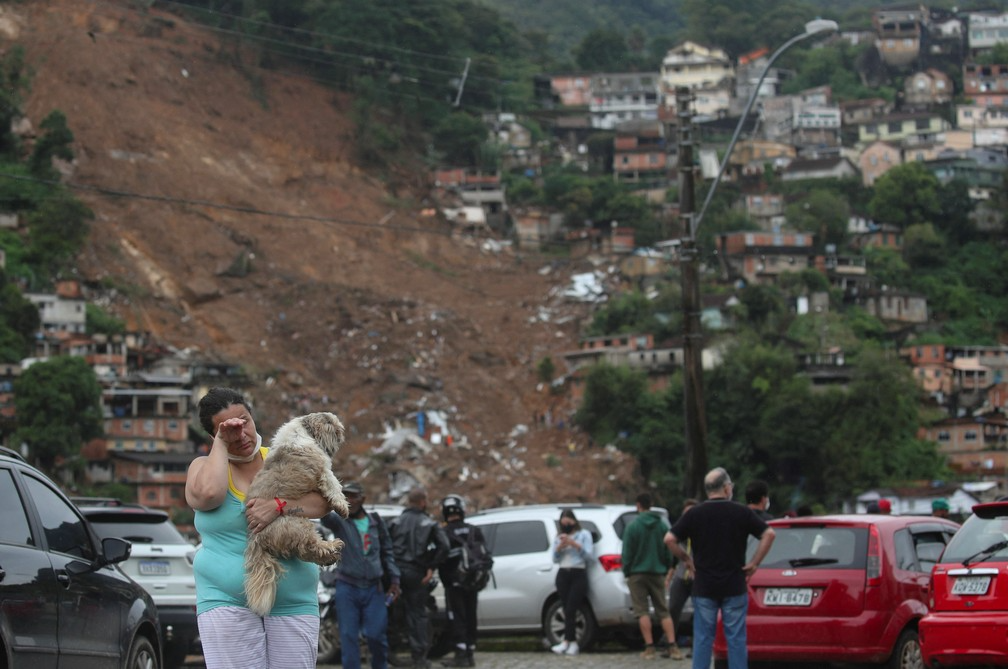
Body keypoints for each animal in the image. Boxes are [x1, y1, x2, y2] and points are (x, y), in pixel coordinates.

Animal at [242, 411, 350, 612]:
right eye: (334, 425)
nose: (341, 433)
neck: (304, 431)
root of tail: (257, 538)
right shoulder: (324, 470)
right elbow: (333, 485)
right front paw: (342, 507)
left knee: (306, 551)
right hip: (298, 523)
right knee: (312, 546)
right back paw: (332, 546)